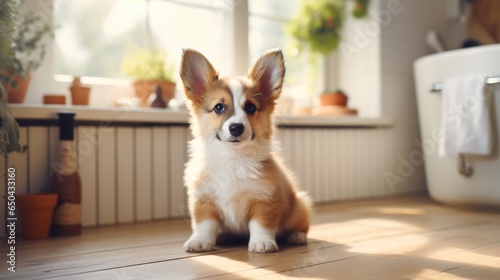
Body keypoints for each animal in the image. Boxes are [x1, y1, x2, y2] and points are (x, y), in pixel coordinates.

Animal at [180, 48, 312, 254]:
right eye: (219, 107)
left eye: (250, 107)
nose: (236, 128)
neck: (233, 158)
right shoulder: (203, 199)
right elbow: (204, 225)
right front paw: (200, 241)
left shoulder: (265, 200)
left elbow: (261, 225)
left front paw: (262, 243)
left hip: (299, 207)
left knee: (301, 226)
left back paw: (297, 236)